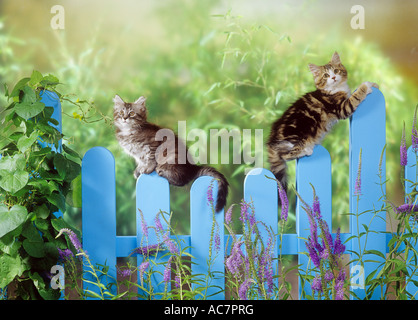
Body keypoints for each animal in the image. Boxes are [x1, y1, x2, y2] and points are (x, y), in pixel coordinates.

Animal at [268, 51, 378, 192]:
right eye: (326, 75)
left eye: (336, 70)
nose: (333, 77)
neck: (335, 89)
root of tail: (271, 141)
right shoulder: (342, 108)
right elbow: (356, 96)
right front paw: (366, 85)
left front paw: (373, 84)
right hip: (297, 134)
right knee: (286, 155)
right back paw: (306, 150)